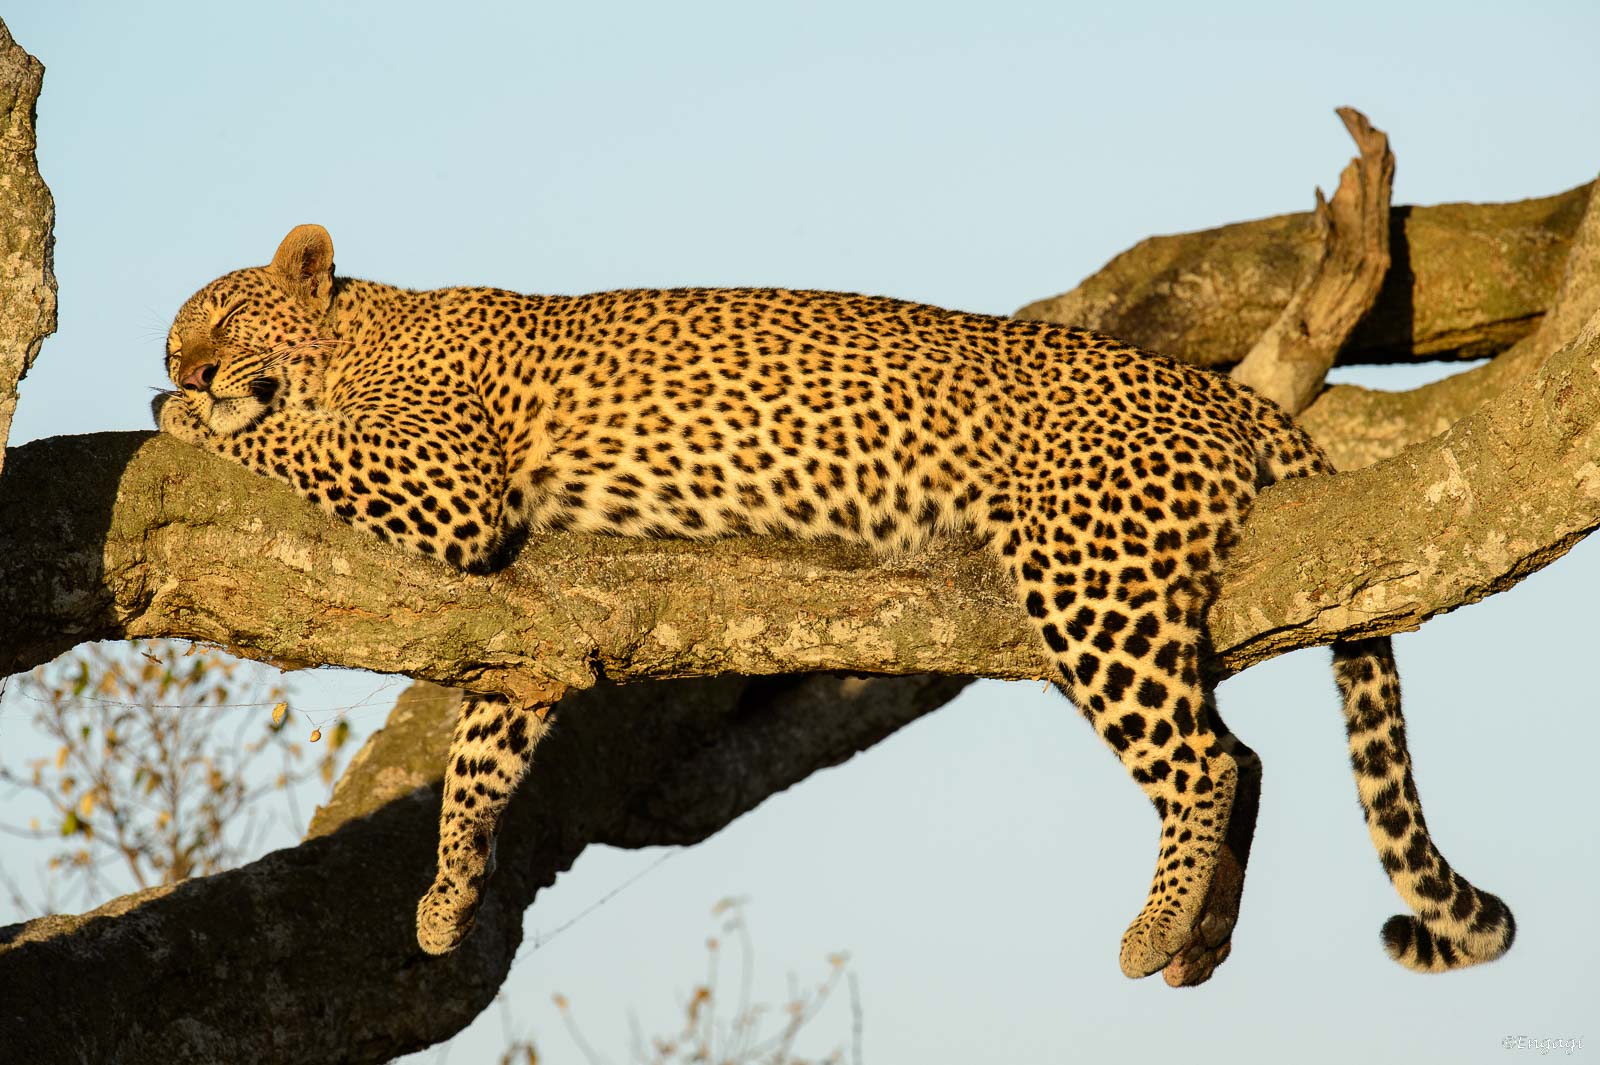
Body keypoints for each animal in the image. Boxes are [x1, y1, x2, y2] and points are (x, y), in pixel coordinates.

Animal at [155, 224, 1514, 985]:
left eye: (215, 317)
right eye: (178, 329)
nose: (174, 362)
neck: (361, 327)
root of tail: (1223, 388)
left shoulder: (447, 482)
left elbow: (288, 441)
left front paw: (185, 417)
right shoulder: (526, 627)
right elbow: (486, 751)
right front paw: (445, 896)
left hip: (1089, 576)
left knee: (1204, 761)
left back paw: (1152, 928)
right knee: (1243, 752)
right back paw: (1203, 940)